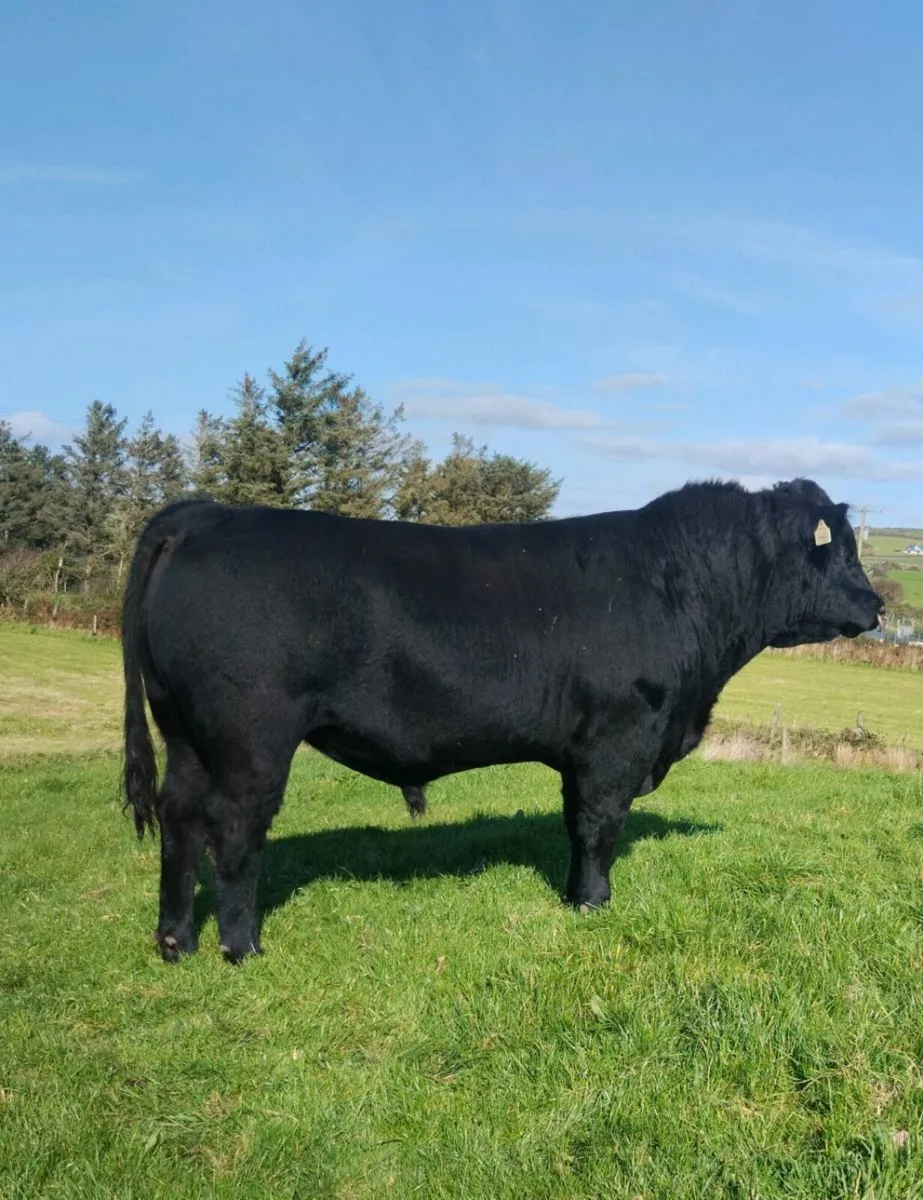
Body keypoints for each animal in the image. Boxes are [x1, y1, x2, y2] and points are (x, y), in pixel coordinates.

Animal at [121, 478, 884, 963]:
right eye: (842, 552)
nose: (877, 606)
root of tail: (205, 514)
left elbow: (575, 823)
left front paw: (577, 898)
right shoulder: (618, 738)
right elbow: (599, 824)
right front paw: (593, 904)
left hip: (186, 734)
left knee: (179, 819)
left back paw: (174, 941)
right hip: (251, 737)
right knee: (233, 829)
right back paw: (241, 946)